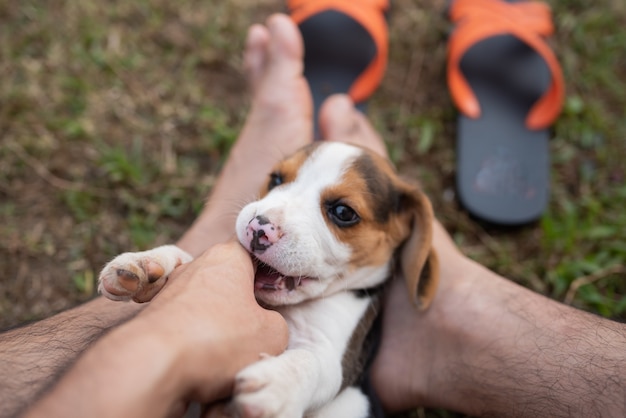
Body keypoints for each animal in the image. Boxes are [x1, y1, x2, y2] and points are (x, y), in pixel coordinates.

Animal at [98, 141, 438, 418]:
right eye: (276, 179)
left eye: (343, 212)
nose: (258, 228)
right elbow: (185, 260)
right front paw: (150, 263)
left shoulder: (336, 358)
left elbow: (311, 361)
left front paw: (277, 384)